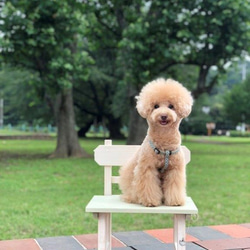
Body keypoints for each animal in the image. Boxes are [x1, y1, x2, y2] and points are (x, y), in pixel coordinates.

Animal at [119, 78, 193, 207]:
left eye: (171, 106)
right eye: (156, 106)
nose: (163, 115)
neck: (164, 145)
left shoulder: (175, 169)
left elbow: (174, 185)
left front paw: (175, 201)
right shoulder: (147, 168)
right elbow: (148, 185)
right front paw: (151, 201)